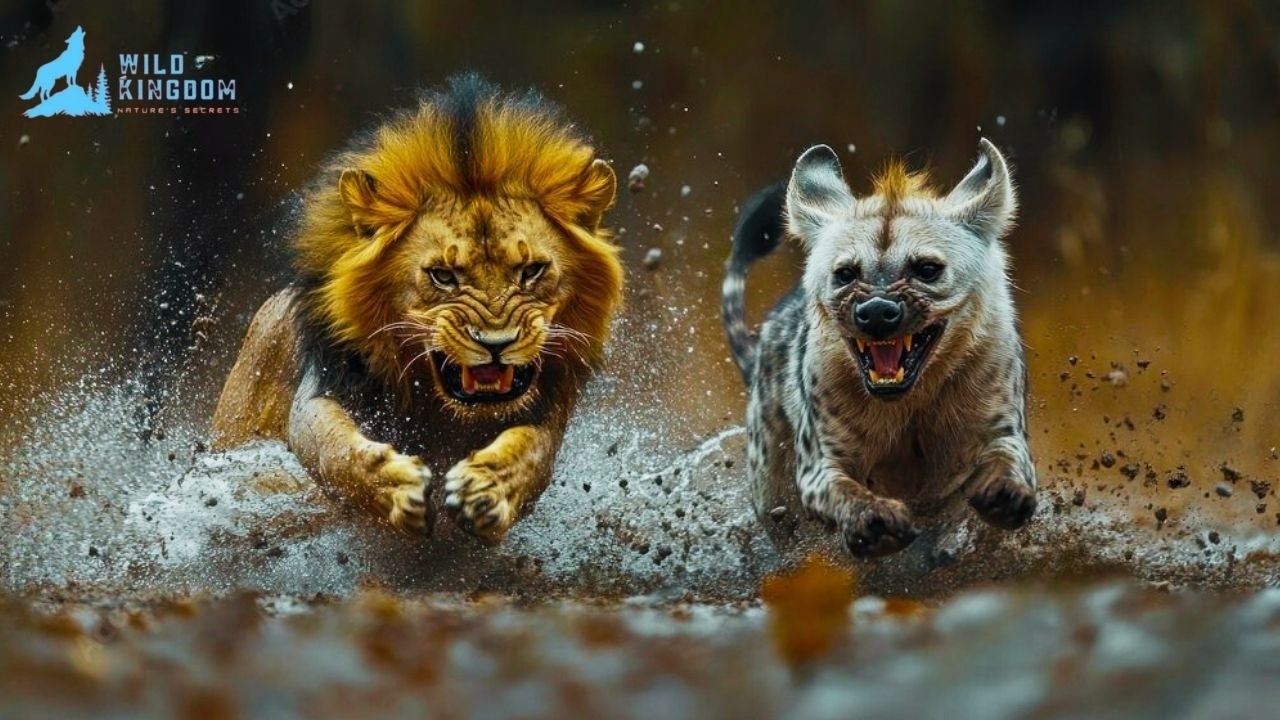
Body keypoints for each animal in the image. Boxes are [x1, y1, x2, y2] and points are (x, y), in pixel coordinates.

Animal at [211, 74, 622, 541]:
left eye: (532, 270)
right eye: (442, 275)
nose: (496, 344)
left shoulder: (549, 412)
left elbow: (531, 452)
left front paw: (486, 490)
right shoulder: (321, 392)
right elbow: (335, 450)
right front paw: (398, 487)